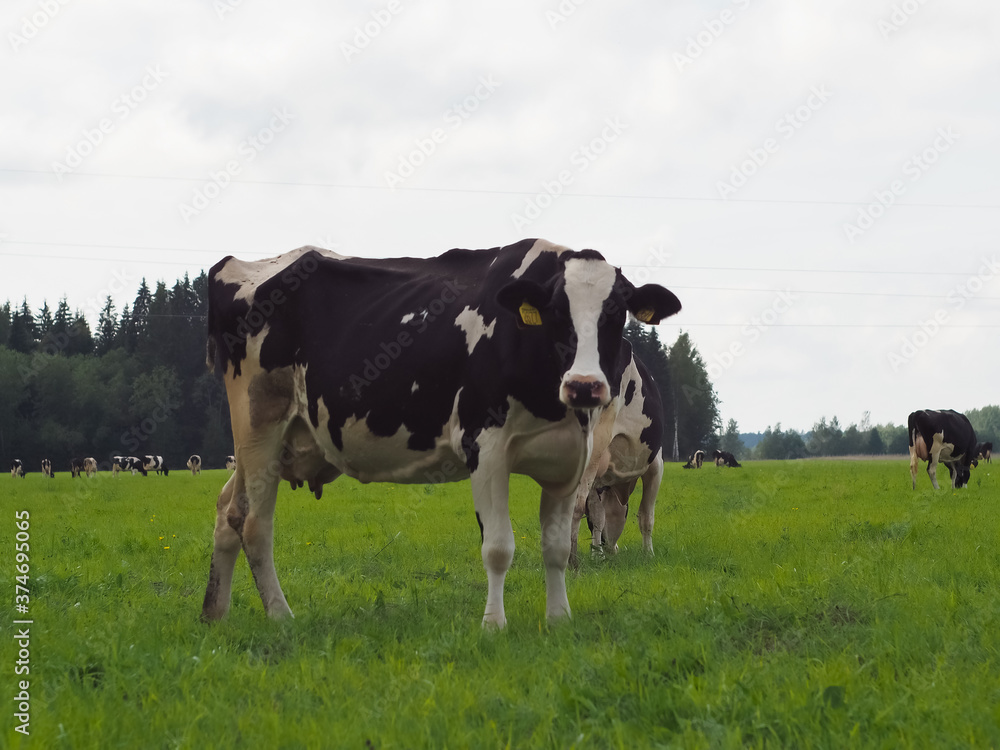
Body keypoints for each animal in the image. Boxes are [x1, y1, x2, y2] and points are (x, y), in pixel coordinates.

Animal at [572, 350, 664, 568]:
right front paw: (649, 554)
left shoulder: (598, 479)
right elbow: (646, 515)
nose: (613, 548)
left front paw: (597, 555)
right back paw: (571, 561)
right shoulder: (656, 465)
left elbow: (597, 517)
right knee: (575, 508)